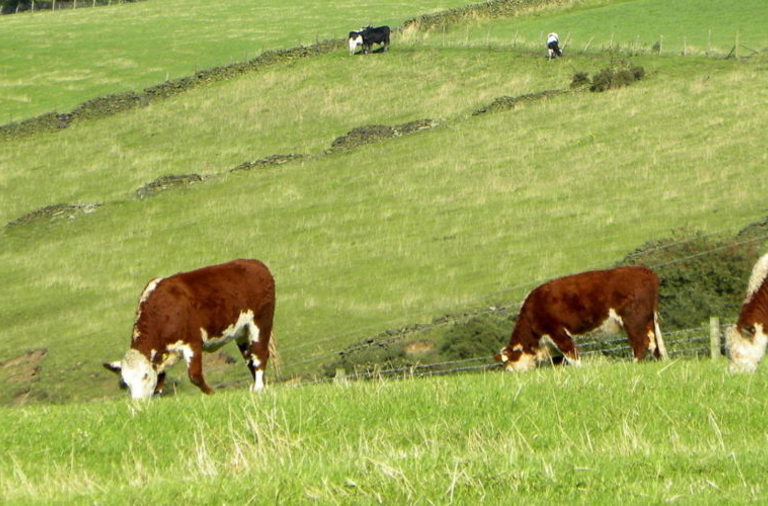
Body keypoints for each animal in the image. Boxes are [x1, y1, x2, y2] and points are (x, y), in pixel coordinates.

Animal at [104, 259, 276, 399]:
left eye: (145, 375)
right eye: (126, 382)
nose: (138, 402)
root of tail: (256, 264)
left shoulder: (192, 342)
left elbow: (195, 375)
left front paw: (212, 393)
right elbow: (160, 379)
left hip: (261, 321)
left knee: (259, 354)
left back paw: (258, 387)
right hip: (242, 332)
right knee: (249, 358)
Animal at [494, 266, 667, 371]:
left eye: (508, 363)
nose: (509, 372)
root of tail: (646, 272)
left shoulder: (557, 331)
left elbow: (571, 355)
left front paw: (580, 368)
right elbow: (560, 360)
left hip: (633, 320)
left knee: (641, 343)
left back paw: (635, 364)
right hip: (648, 320)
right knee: (654, 343)